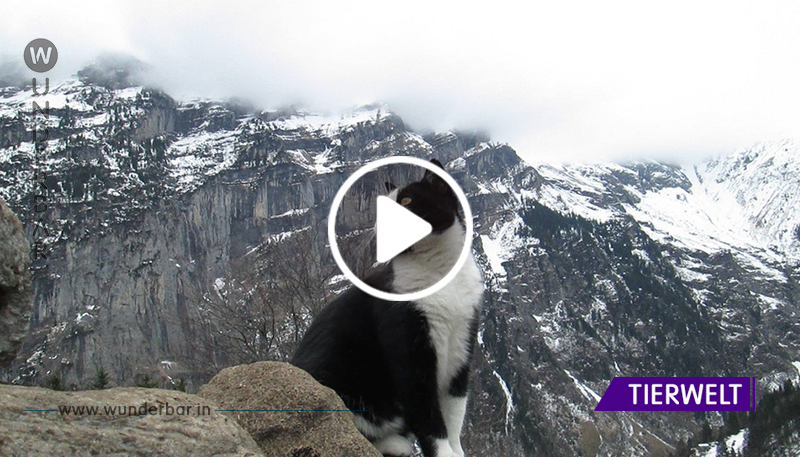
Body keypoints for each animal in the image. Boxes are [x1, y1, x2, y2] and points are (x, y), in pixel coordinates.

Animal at [292, 159, 484, 456]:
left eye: (406, 201)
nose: (382, 222)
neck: (438, 272)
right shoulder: (409, 355)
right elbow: (430, 420)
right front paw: (443, 452)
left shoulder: (462, 348)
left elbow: (454, 415)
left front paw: (456, 451)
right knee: (343, 425)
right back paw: (396, 443)